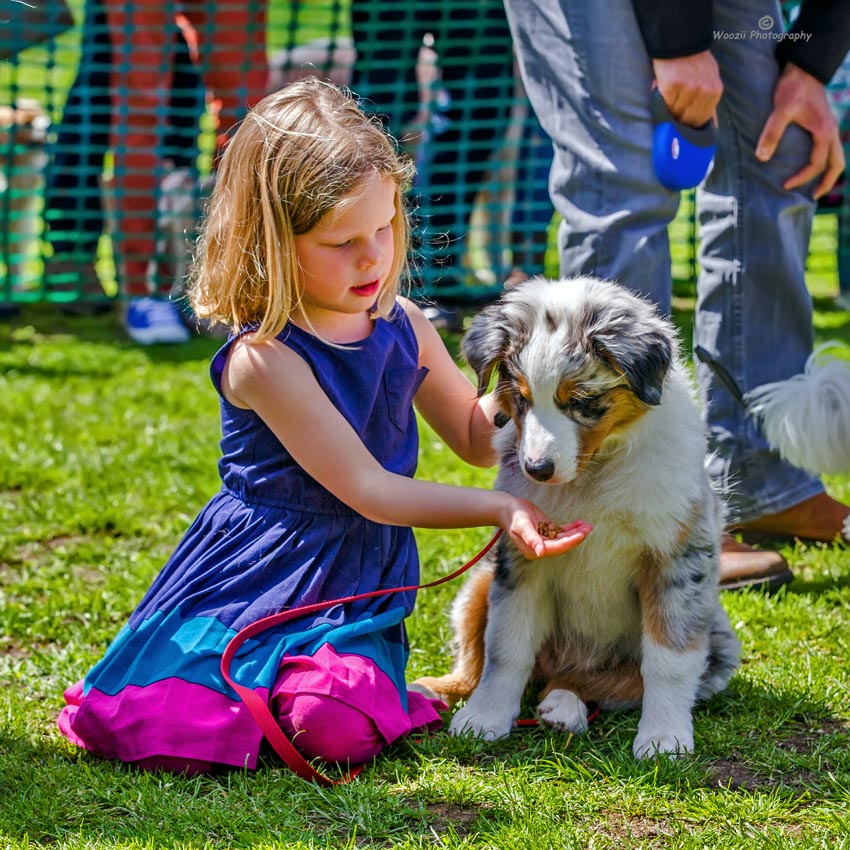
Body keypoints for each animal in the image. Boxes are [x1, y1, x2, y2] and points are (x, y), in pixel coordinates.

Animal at [420, 276, 744, 756]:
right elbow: (505, 647)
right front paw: (486, 717)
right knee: (478, 659)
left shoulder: (677, 556)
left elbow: (667, 658)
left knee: (601, 683)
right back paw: (439, 690)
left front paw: (664, 736)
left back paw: (564, 706)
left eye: (582, 401)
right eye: (520, 399)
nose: (537, 468)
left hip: (718, 645)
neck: (594, 471)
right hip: (478, 585)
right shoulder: (522, 557)